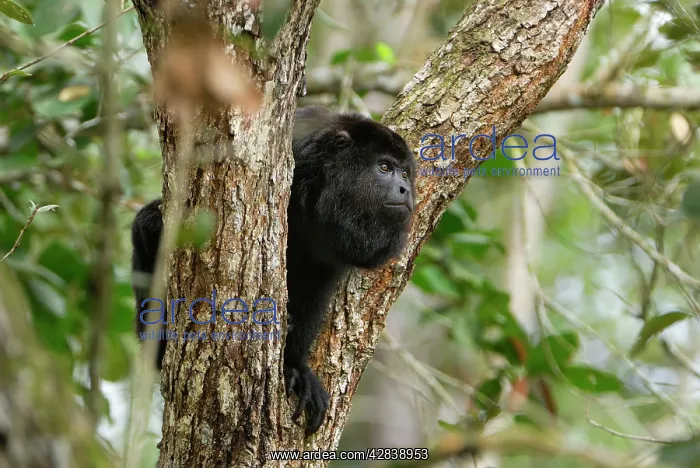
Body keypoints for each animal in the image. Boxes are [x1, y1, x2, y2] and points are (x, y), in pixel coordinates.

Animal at [131, 106, 416, 435]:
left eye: (405, 173)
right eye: (384, 167)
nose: (405, 189)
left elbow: (315, 291)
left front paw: (295, 365)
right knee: (147, 224)